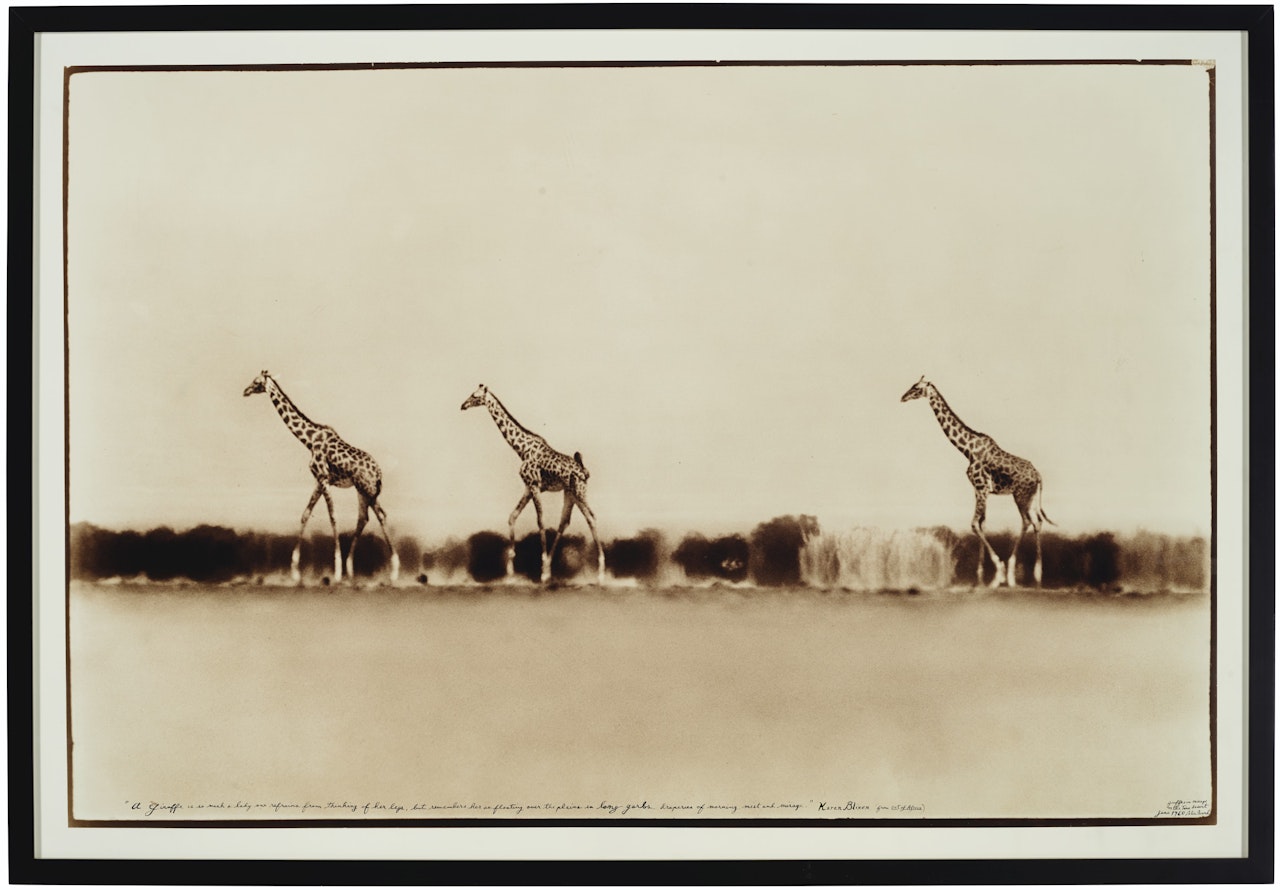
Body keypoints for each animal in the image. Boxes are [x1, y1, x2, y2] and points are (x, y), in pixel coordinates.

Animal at [241, 371, 396, 583]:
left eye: (257, 382)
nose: (245, 391)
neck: (309, 440)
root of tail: (379, 472)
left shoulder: (323, 478)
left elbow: (333, 517)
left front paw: (336, 571)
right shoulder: (319, 480)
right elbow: (305, 514)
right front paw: (295, 571)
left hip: (368, 489)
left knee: (380, 515)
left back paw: (393, 572)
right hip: (361, 490)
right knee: (364, 518)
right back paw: (351, 569)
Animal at [460, 384, 604, 583]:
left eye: (475, 396)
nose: (463, 405)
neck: (521, 449)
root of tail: (584, 470)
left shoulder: (534, 485)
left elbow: (540, 521)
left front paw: (542, 570)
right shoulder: (529, 487)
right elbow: (512, 516)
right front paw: (511, 571)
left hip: (579, 491)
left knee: (591, 517)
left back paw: (600, 574)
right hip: (570, 492)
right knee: (566, 522)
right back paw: (555, 567)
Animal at [901, 376, 1049, 591]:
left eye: (916, 388)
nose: (903, 397)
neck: (967, 449)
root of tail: (1039, 476)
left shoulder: (981, 488)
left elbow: (974, 525)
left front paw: (996, 573)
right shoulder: (979, 490)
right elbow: (982, 524)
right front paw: (982, 577)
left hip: (1020, 496)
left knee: (1029, 522)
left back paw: (1021, 575)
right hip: (1029, 497)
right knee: (1035, 522)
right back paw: (1032, 576)